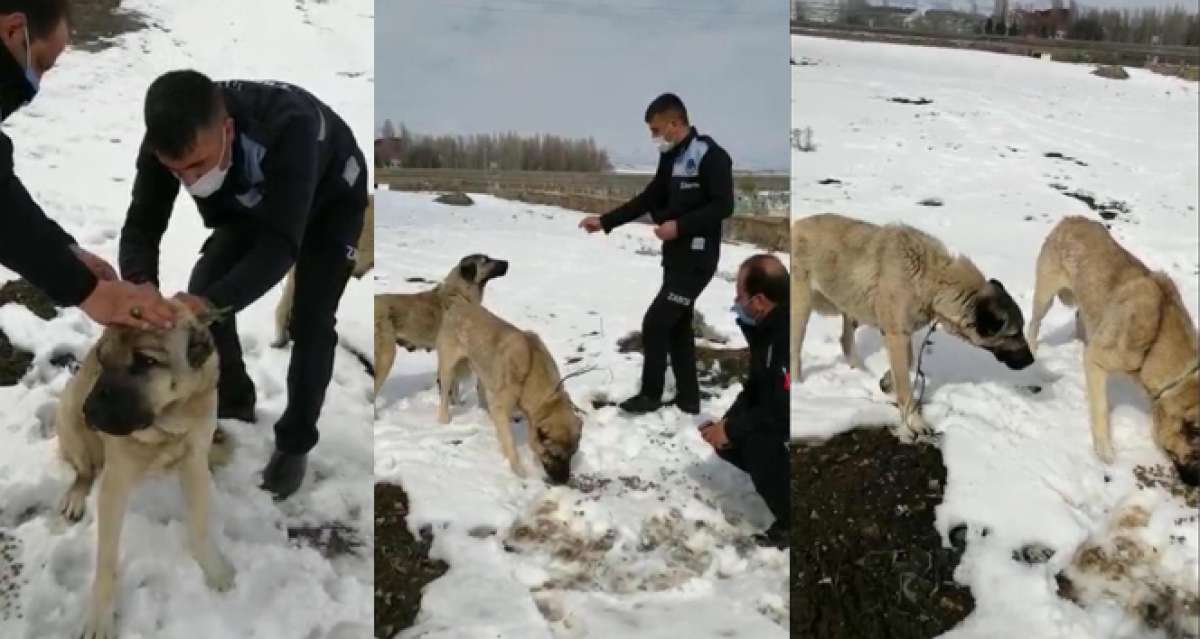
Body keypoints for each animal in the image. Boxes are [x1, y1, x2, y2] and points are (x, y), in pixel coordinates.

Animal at [54, 300, 236, 639]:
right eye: (102, 358)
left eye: (147, 361)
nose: (90, 411)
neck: (166, 423)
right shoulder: (115, 485)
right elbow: (106, 560)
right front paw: (99, 617)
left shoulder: (194, 464)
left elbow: (200, 527)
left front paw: (214, 569)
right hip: (69, 415)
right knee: (84, 471)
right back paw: (75, 495)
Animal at [436, 296, 585, 482]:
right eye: (555, 455)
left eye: (572, 455)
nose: (564, 481)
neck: (531, 370)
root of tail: (458, 305)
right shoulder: (502, 407)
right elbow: (510, 443)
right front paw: (518, 470)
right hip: (449, 366)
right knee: (445, 391)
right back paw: (444, 419)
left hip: (483, 369)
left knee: (480, 389)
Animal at [1022, 217, 1200, 487]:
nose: (1196, 484)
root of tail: (1069, 219)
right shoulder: (1097, 361)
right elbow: (1101, 410)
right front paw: (1104, 451)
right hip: (1046, 295)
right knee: (1034, 323)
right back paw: (1033, 350)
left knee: (1081, 317)